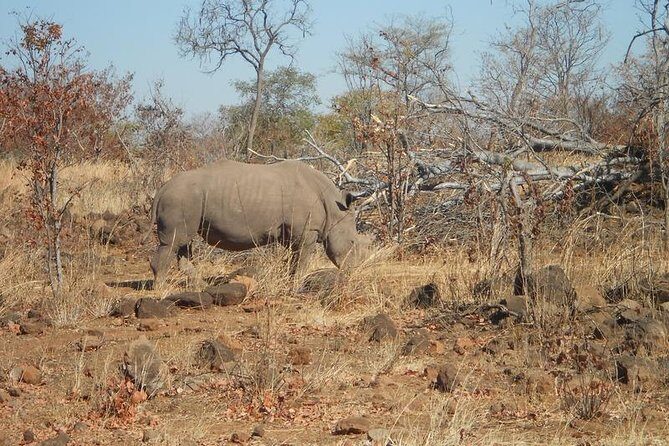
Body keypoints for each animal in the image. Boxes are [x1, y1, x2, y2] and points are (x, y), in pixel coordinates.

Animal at [149, 159, 371, 285]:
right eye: (353, 243)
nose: (354, 271)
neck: (334, 210)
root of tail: (162, 188)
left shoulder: (294, 234)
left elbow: (294, 261)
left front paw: (289, 283)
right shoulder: (306, 233)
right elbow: (302, 262)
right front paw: (297, 286)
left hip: (186, 199)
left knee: (183, 244)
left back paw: (201, 287)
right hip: (181, 198)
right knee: (173, 243)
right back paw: (161, 289)